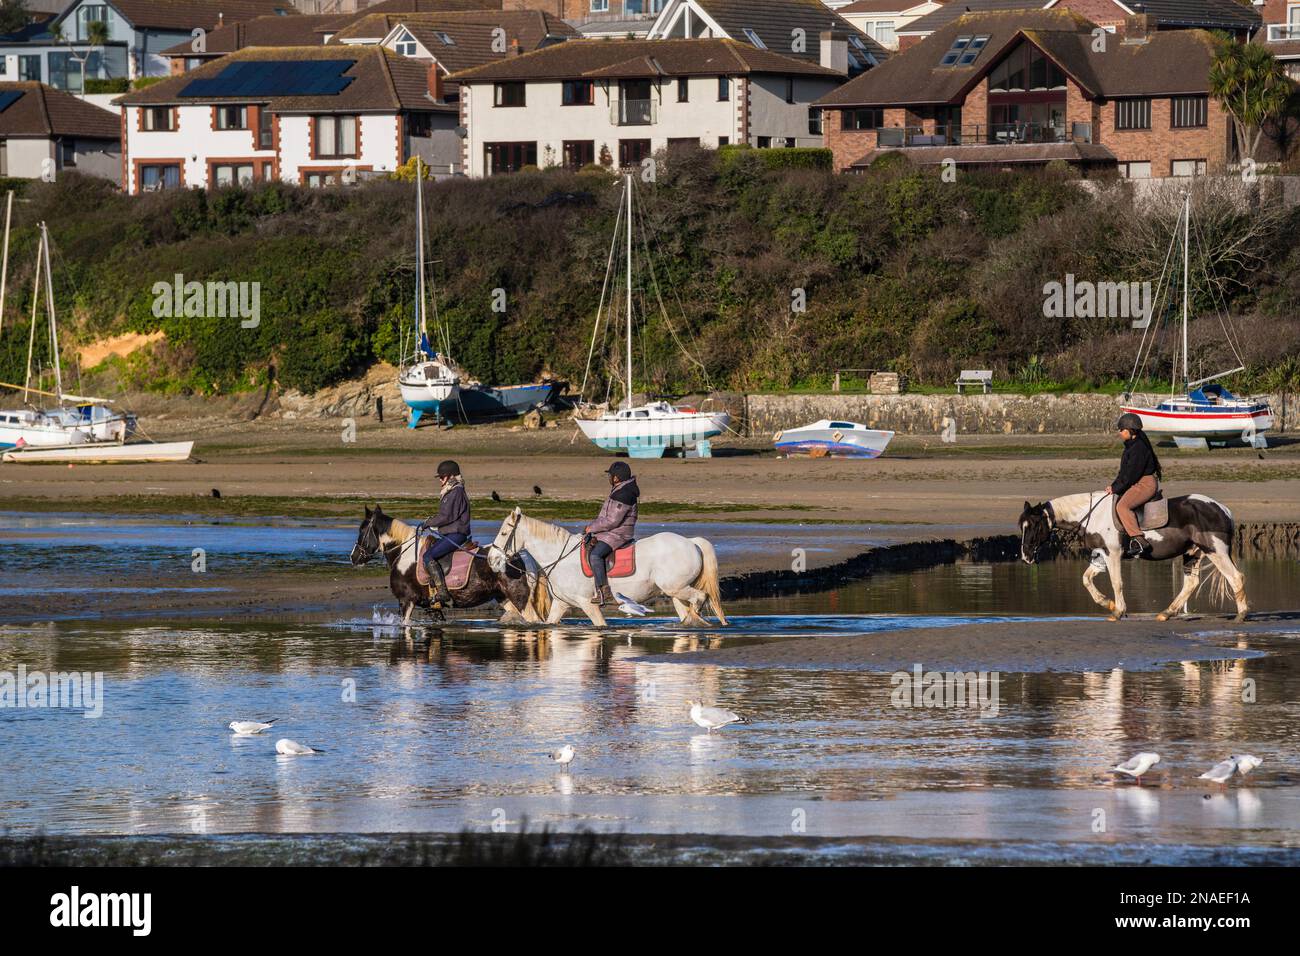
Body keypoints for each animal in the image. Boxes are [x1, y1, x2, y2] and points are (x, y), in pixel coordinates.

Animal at [350, 505, 546, 626]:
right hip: (504, 598)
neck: (404, 553)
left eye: (362, 530)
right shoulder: (432, 608)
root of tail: (523, 556)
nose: (353, 557)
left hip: (520, 598)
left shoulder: (406, 601)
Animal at [485, 507, 728, 627]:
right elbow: (551, 623)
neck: (560, 558)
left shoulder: (587, 604)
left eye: (504, 533)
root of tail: (692, 542)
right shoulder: (562, 604)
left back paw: (697, 620)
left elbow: (600, 625)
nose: (491, 560)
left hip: (677, 588)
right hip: (675, 592)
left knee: (700, 598)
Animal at [1018, 491, 1248, 622]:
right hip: (1193, 553)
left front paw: (1118, 611)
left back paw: (1241, 615)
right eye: (1022, 526)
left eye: (1034, 524)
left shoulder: (1113, 554)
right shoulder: (1100, 556)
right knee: (1191, 583)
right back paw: (1167, 613)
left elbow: (1116, 582)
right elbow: (1086, 580)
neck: (1093, 515)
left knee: (1235, 578)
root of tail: (1223, 509)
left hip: (1215, 551)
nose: (1026, 556)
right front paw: (1108, 604)